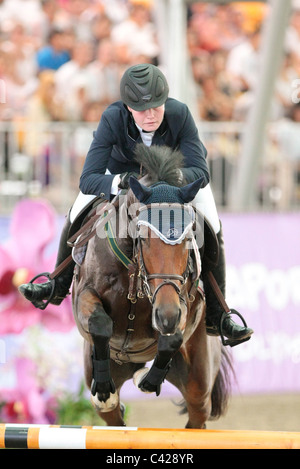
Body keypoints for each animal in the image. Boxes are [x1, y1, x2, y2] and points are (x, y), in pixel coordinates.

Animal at [71, 144, 231, 426]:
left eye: (188, 238)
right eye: (143, 238)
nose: (166, 316)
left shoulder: (183, 303)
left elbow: (173, 337)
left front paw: (148, 381)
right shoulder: (85, 295)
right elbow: (100, 323)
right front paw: (104, 388)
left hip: (199, 384)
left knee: (197, 415)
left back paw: (144, 377)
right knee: (112, 414)